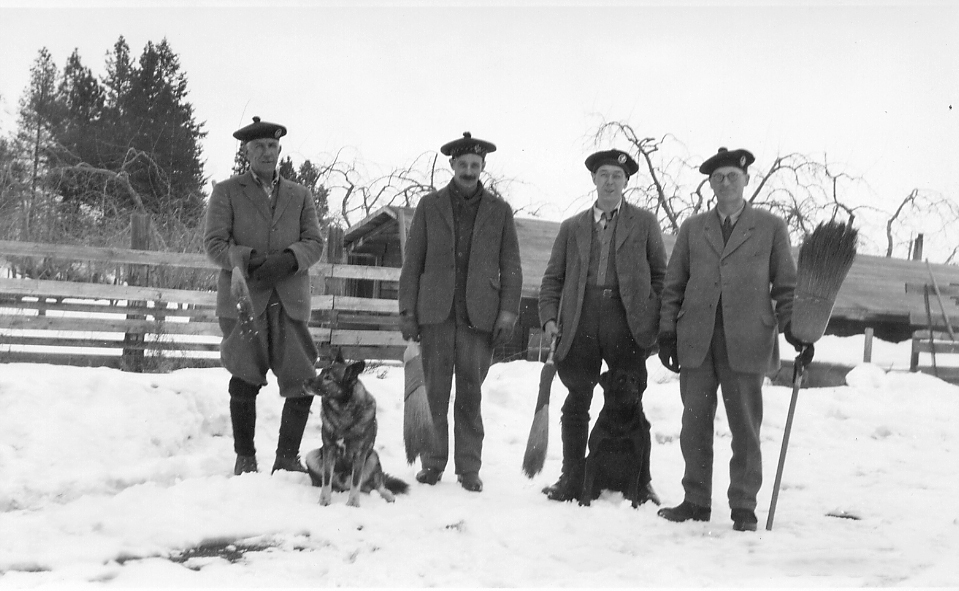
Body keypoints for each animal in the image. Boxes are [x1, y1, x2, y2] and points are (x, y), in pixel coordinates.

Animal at [300, 352, 404, 508]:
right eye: (322, 372)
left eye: (328, 377)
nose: (304, 381)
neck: (342, 410)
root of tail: (343, 484)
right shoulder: (329, 449)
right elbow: (326, 479)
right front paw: (324, 500)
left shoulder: (359, 454)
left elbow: (356, 482)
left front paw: (353, 503)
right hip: (312, 456)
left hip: (373, 457)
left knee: (377, 484)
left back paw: (387, 495)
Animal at [576, 370, 660, 508]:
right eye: (620, 380)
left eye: (634, 381)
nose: (635, 393)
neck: (620, 419)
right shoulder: (594, 453)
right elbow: (587, 483)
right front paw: (584, 503)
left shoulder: (636, 456)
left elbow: (632, 486)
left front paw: (632, 505)